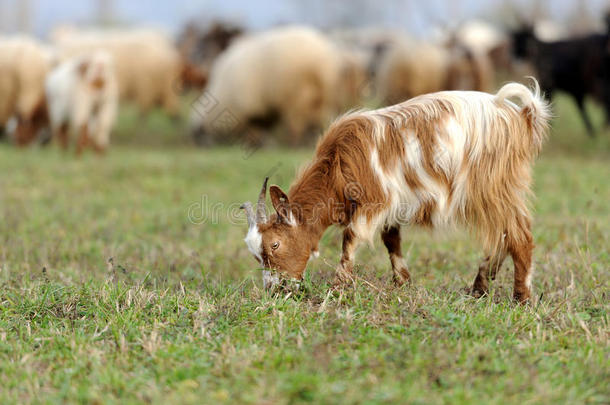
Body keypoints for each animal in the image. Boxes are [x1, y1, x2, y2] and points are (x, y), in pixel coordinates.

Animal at [242, 79, 552, 302]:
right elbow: (391, 239)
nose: (275, 290)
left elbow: (350, 240)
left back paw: (521, 298)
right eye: (257, 254)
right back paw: (480, 286)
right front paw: (402, 282)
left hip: (492, 187)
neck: (337, 165)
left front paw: (337, 288)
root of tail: (521, 116)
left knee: (519, 235)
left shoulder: (375, 200)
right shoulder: (393, 205)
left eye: (275, 245)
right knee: (503, 235)